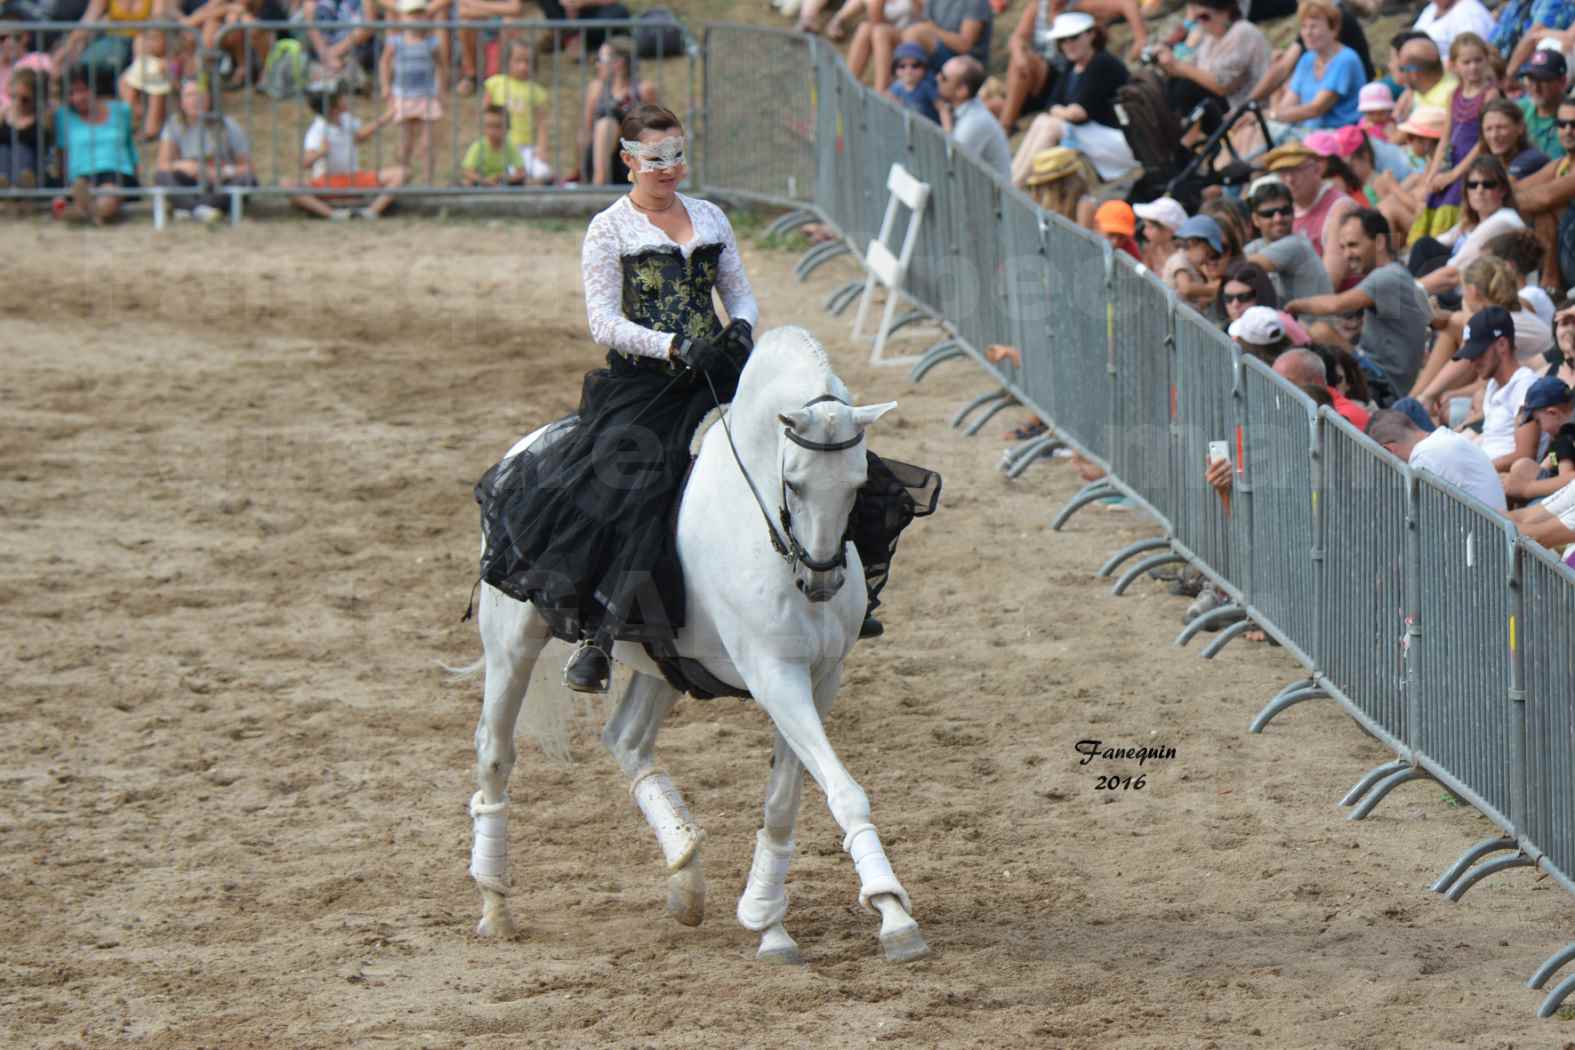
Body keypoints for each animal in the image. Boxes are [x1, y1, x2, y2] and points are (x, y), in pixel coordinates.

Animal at [472, 324, 926, 963]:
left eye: (859, 485)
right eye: (793, 483)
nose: (822, 582)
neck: (766, 531)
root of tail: (529, 446)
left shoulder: (820, 676)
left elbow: (785, 800)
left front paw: (767, 920)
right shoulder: (774, 674)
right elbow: (842, 790)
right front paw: (892, 911)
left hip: (666, 665)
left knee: (626, 739)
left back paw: (686, 877)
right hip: (512, 643)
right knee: (495, 751)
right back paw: (495, 906)